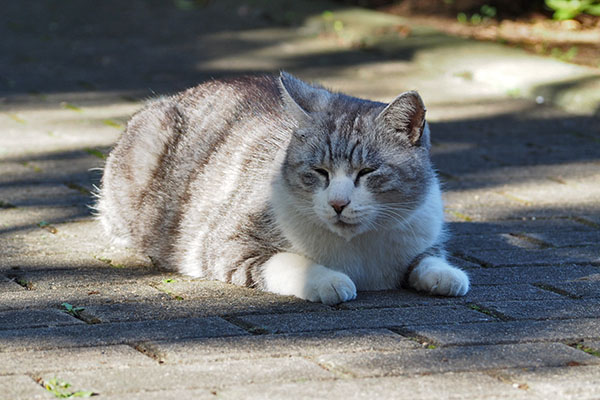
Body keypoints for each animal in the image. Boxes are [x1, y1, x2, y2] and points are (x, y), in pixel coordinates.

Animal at [97, 71, 468, 304]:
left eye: (366, 172)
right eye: (319, 171)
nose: (338, 203)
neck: (358, 250)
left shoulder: (423, 231)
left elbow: (428, 258)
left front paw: (447, 275)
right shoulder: (228, 243)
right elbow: (287, 261)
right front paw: (329, 281)